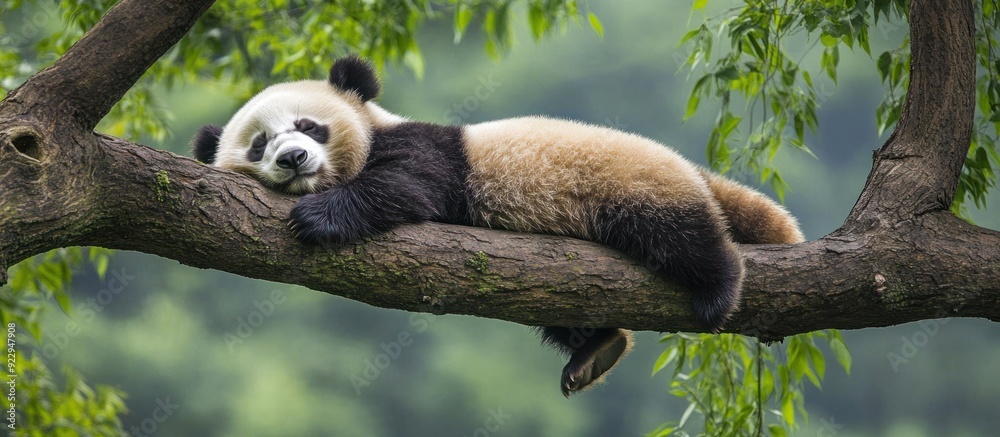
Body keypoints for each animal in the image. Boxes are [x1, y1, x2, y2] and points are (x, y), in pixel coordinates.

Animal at [192, 56, 805, 397]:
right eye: (259, 144)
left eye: (308, 126)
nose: (293, 159)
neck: (372, 128)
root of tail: (693, 171)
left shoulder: (430, 150)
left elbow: (407, 186)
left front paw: (318, 216)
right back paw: (595, 352)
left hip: (635, 184)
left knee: (681, 236)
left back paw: (717, 289)